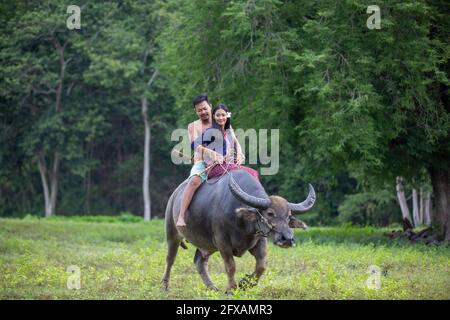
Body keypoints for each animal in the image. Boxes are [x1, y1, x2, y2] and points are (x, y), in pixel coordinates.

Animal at [162, 170, 316, 296]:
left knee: (200, 261)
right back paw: (164, 286)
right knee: (170, 259)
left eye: (289, 216)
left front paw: (245, 283)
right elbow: (231, 266)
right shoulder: (222, 243)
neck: (242, 223)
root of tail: (174, 195)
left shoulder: (260, 239)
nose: (287, 239)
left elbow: (261, 266)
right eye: (270, 213)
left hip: (207, 244)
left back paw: (212, 287)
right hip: (172, 232)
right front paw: (231, 289)